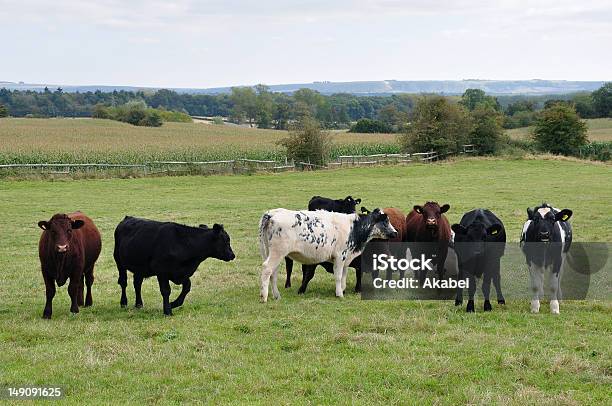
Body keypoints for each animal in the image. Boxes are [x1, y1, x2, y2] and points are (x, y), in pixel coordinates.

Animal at [258, 209, 396, 302]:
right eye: (385, 221)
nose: (395, 232)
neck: (354, 228)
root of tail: (272, 214)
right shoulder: (340, 256)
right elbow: (338, 276)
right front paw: (339, 294)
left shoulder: (345, 258)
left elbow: (343, 276)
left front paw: (342, 290)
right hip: (278, 252)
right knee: (267, 269)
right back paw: (264, 297)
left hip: (273, 253)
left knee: (273, 273)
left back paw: (277, 295)